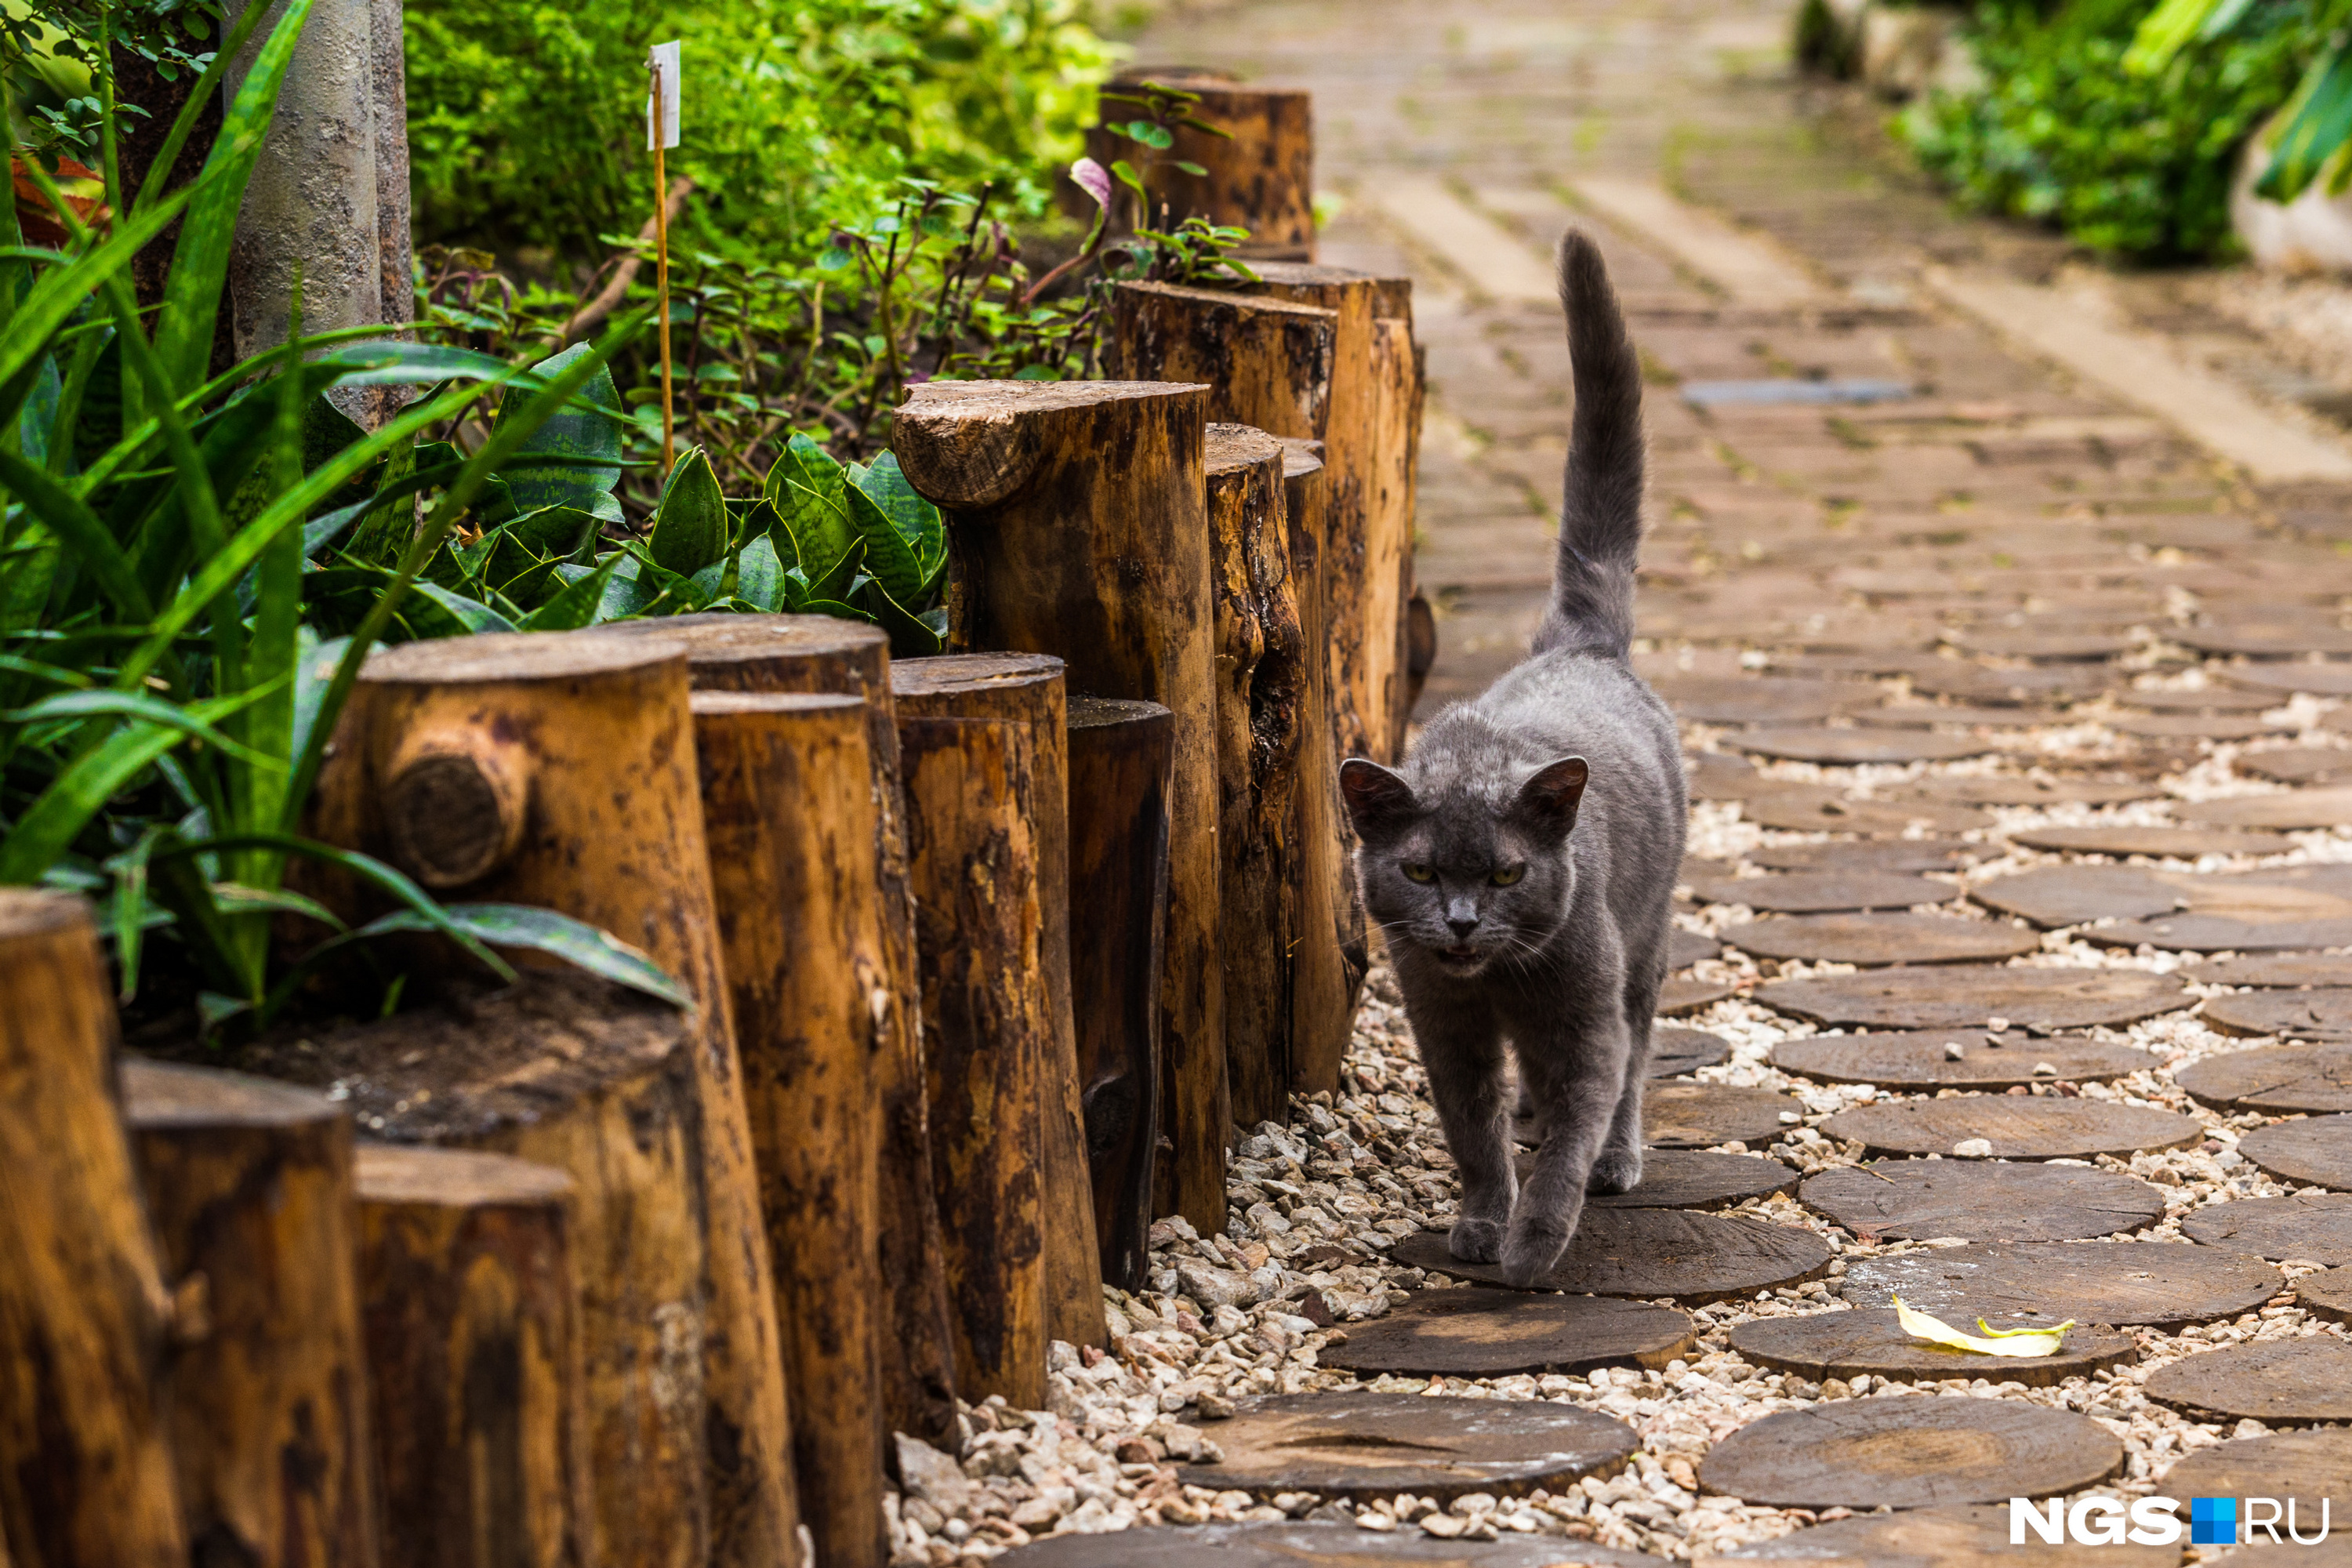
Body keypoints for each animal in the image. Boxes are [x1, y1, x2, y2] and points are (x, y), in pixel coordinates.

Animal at [1345, 230, 1693, 1288]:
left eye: (1506, 873)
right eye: (1420, 870)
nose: (1461, 922)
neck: (1497, 985)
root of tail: (1581, 643)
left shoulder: (1580, 1014)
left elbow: (1584, 1111)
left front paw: (1535, 1238)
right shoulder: (1442, 1026)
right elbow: (1472, 1131)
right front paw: (1479, 1218)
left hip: (1645, 934)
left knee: (1639, 1048)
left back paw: (1620, 1157)